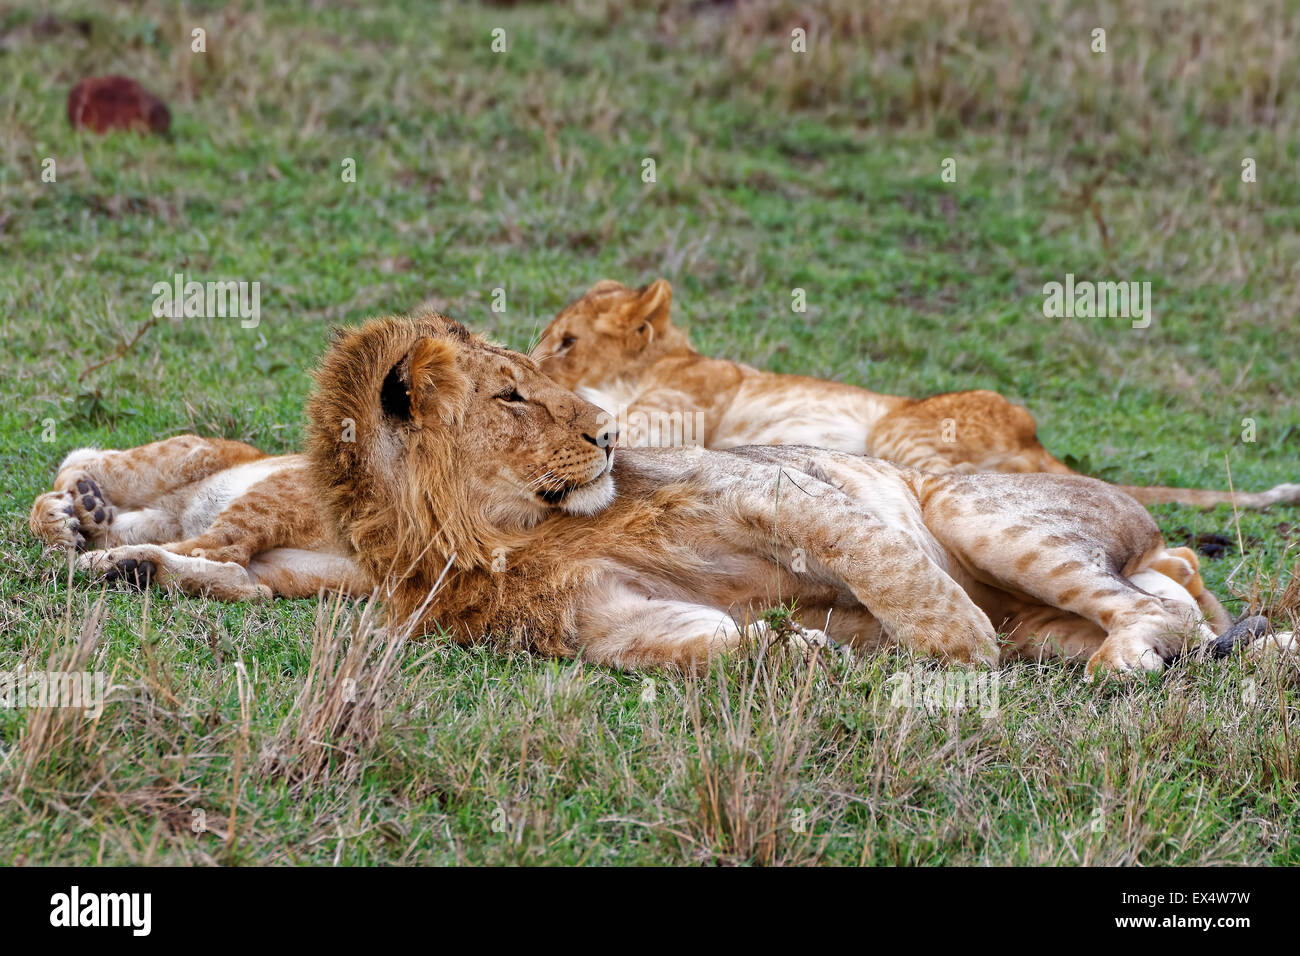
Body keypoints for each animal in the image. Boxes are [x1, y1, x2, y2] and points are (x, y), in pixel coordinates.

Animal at [295, 310, 1268, 677]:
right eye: (511, 396)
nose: (610, 436)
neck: (511, 531)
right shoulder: (604, 623)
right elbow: (703, 643)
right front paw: (796, 647)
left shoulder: (763, 482)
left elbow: (878, 558)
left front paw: (952, 645)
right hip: (1049, 624)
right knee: (1166, 609)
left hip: (970, 506)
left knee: (1155, 608)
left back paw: (1127, 658)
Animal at [530, 279, 1300, 510]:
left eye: (565, 341)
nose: (532, 364)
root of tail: (1033, 436)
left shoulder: (677, 412)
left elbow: (614, 429)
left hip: (900, 430)